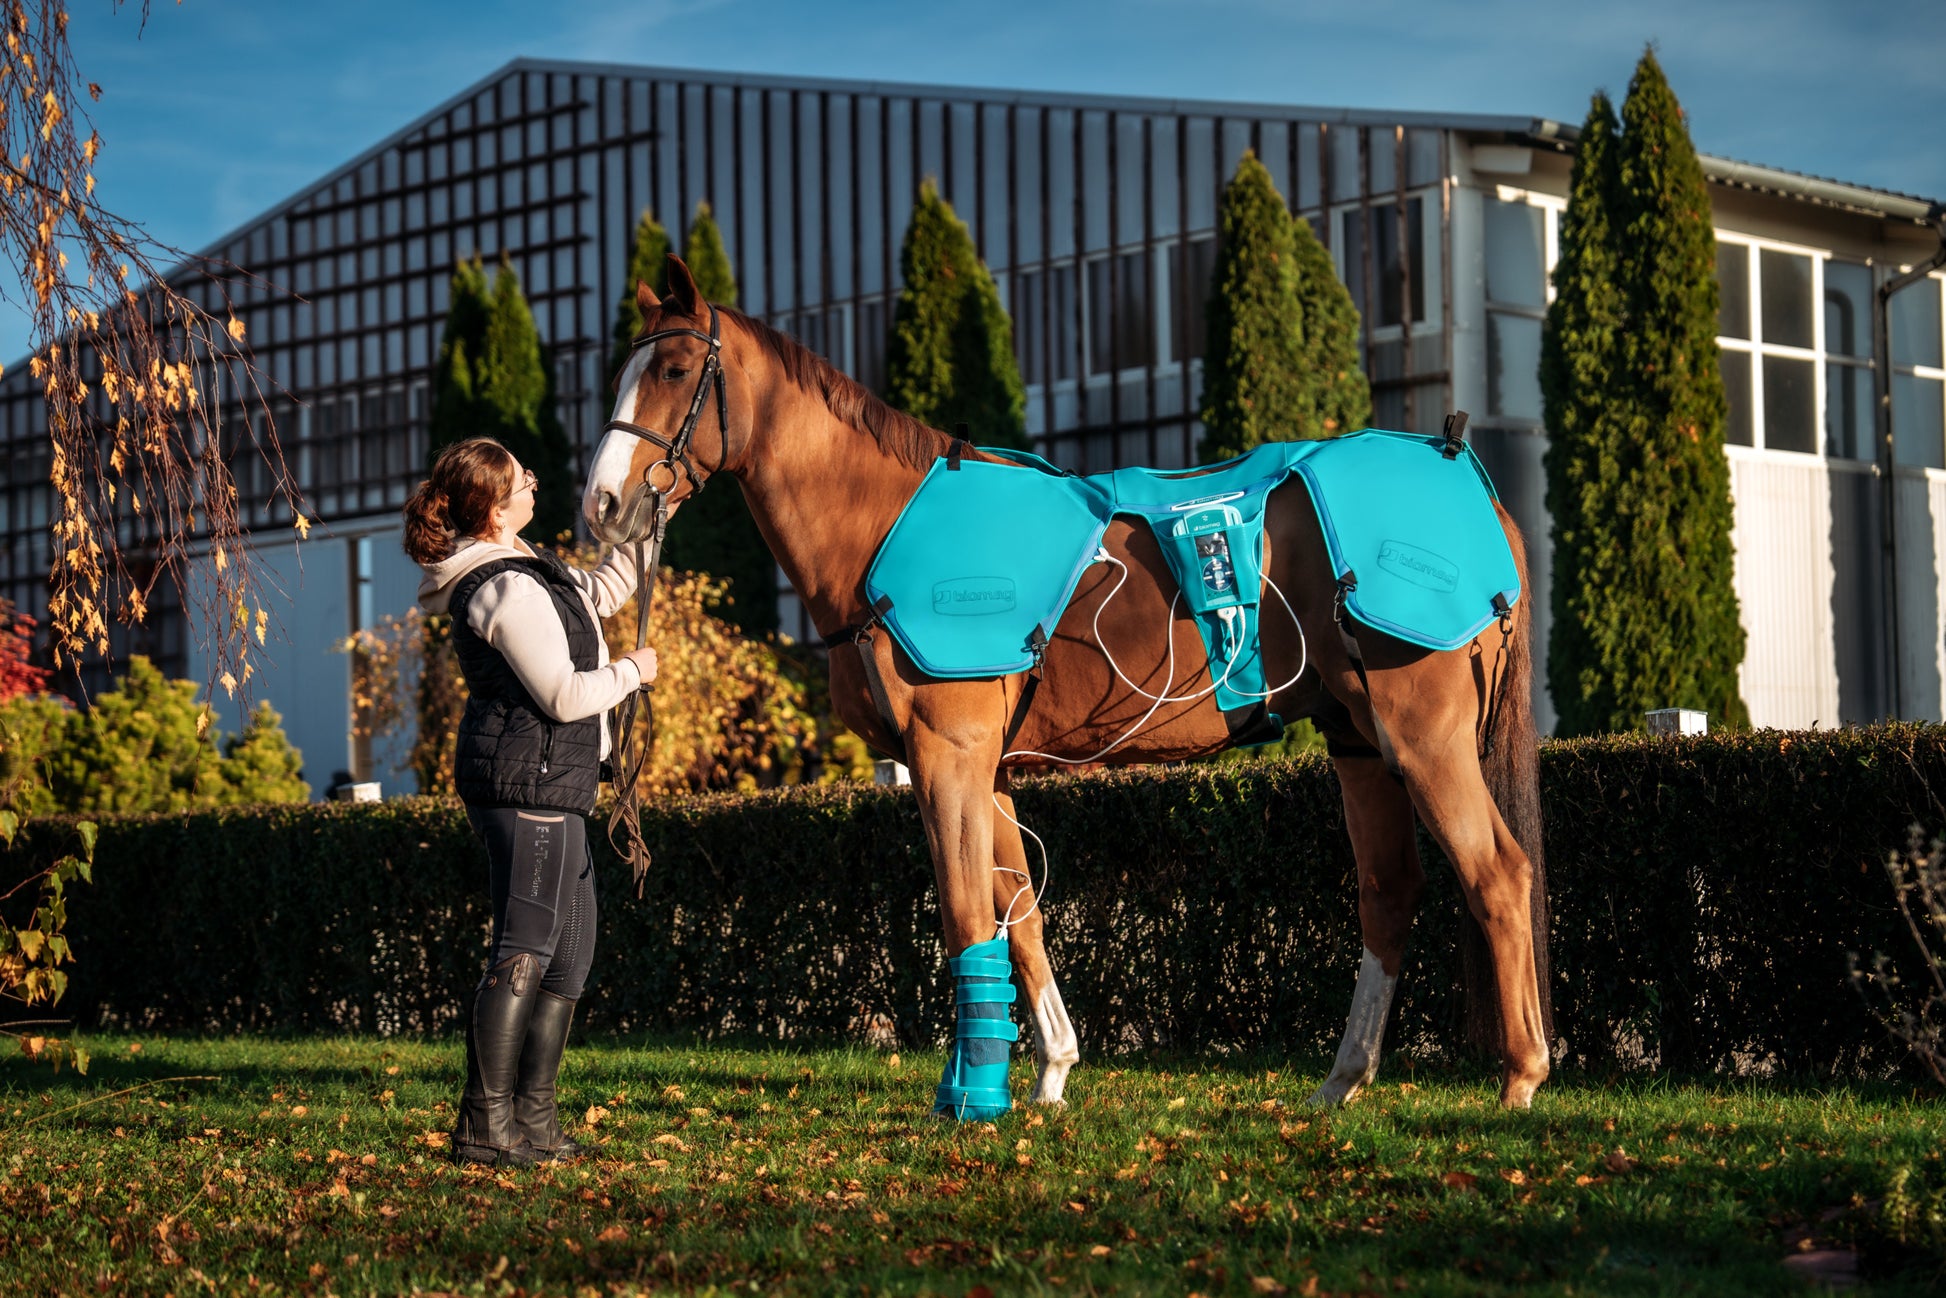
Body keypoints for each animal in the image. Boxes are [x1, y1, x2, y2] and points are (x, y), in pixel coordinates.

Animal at [583, 255, 1553, 1110]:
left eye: (674, 368)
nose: (601, 506)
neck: (882, 523)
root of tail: (1475, 483)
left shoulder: (949, 758)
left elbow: (964, 916)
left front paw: (973, 1096)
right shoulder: (986, 772)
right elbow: (1018, 916)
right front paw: (1049, 1070)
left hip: (1422, 734)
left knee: (1498, 874)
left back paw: (1521, 1078)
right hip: (1358, 740)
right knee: (1390, 894)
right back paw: (1343, 1081)